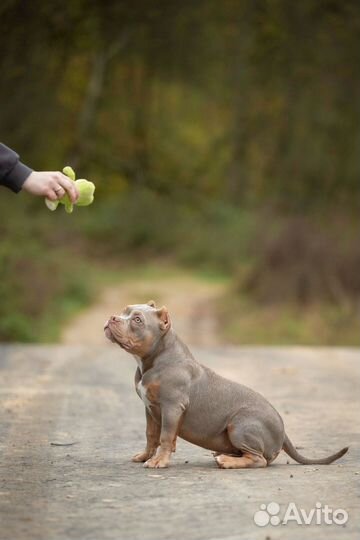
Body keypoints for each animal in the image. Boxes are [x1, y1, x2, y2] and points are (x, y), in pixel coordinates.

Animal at [104, 302, 348, 470]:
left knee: (259, 460)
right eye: (125, 310)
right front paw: (145, 456)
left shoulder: (172, 407)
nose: (112, 317)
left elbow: (164, 436)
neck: (156, 358)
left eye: (137, 320)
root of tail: (283, 431)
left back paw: (227, 462)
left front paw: (159, 461)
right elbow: (151, 435)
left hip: (239, 425)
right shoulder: (150, 408)